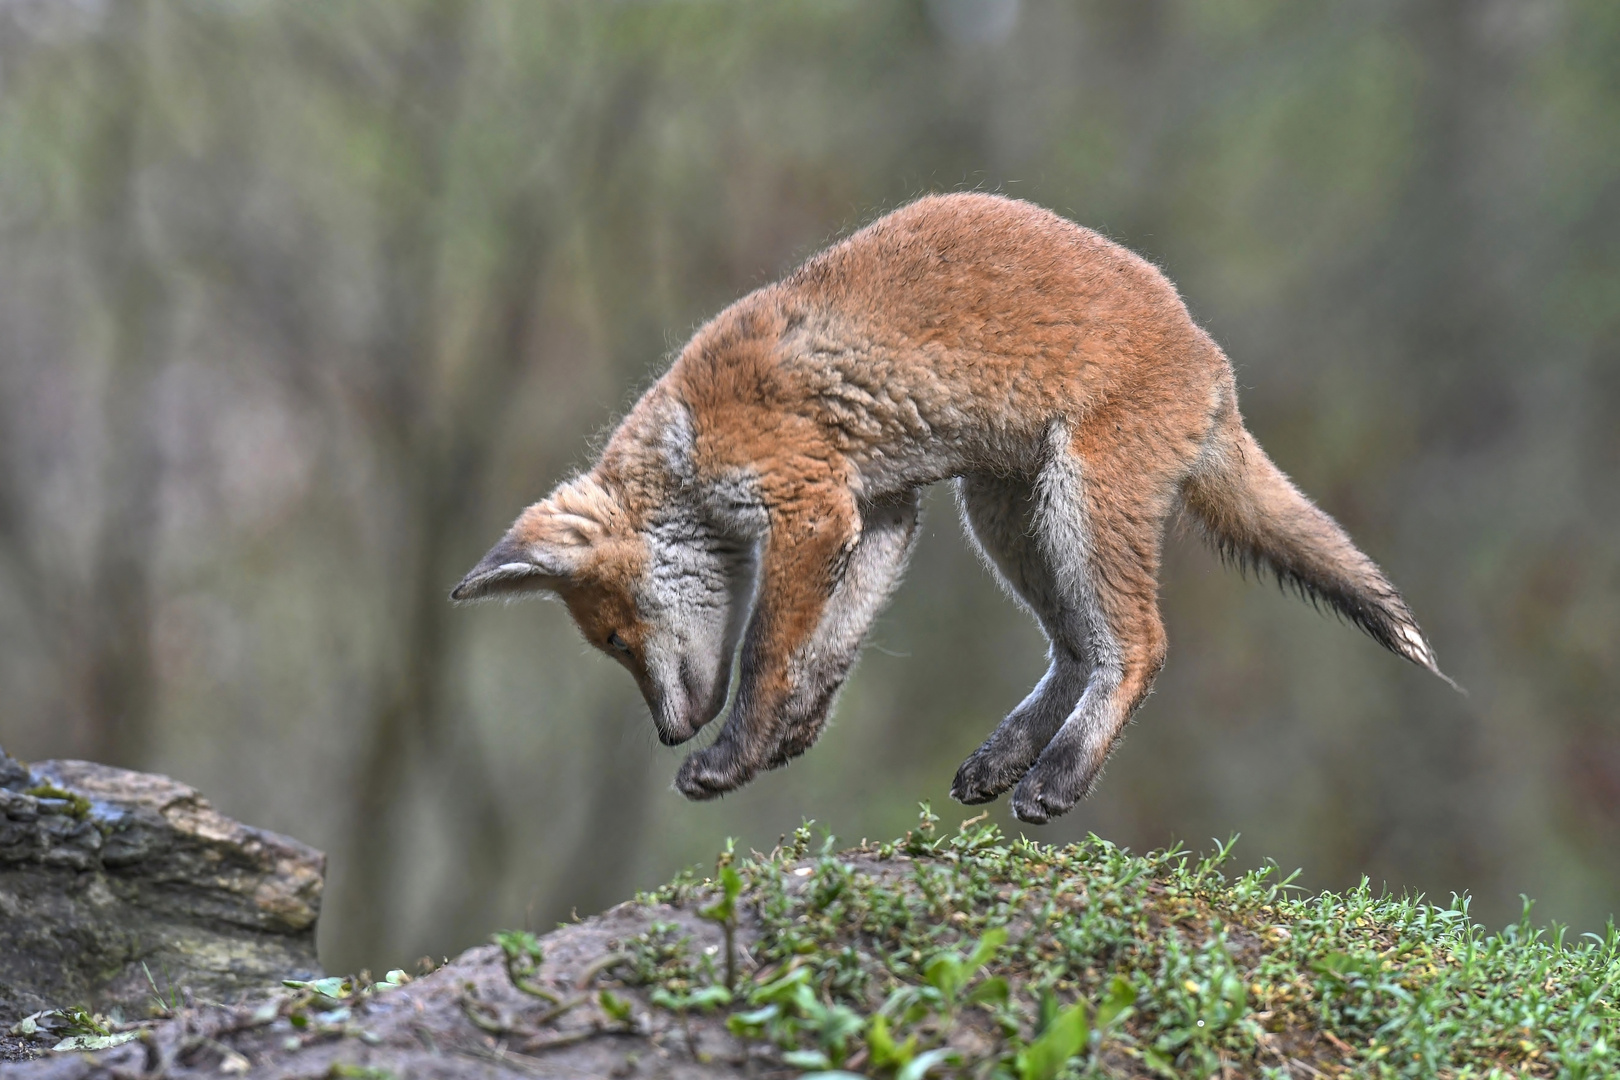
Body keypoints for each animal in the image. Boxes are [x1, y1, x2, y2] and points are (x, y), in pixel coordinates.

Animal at [450, 194, 1451, 822]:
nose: (668, 733)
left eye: (617, 641)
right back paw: (1008, 758)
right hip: (1003, 516)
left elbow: (770, 651)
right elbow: (831, 648)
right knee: (1075, 648)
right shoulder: (883, 513)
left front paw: (730, 759)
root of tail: (1214, 364)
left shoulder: (810, 508)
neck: (685, 436)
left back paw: (1058, 780)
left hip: (1079, 508)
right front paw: (787, 739)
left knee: (1140, 648)